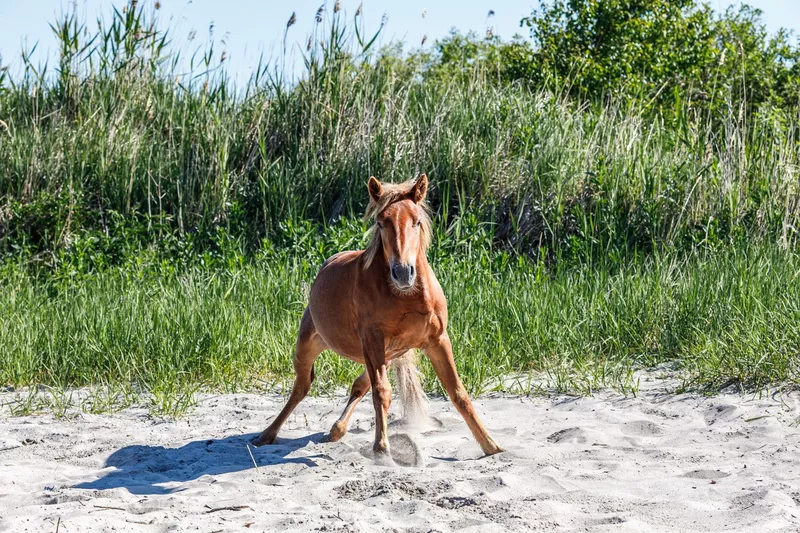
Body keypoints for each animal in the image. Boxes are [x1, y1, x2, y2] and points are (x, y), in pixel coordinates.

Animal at [253, 175, 504, 458]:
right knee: (301, 387)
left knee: (358, 384)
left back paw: (336, 430)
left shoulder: (437, 340)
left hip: (386, 353)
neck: (407, 298)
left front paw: (491, 445)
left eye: (417, 221)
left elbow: (458, 393)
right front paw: (382, 448)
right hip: (309, 345)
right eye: (381, 222)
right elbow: (382, 392)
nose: (403, 272)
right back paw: (266, 435)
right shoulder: (373, 340)